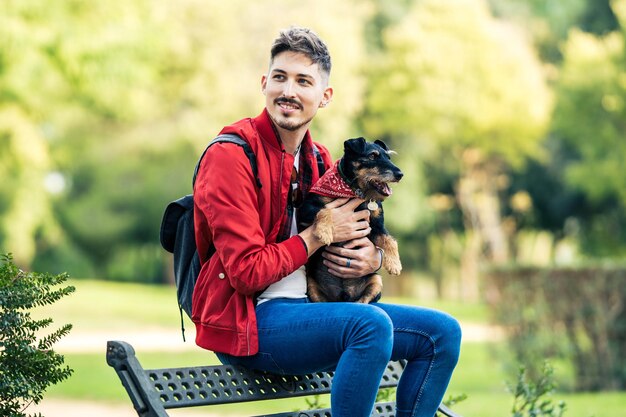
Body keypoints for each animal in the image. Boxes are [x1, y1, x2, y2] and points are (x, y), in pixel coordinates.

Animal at [298, 136, 404, 302]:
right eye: (372, 156)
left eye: (388, 157)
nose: (400, 174)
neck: (356, 192)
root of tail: (342, 296)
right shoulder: (305, 209)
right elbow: (326, 210)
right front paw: (324, 232)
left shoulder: (376, 227)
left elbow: (389, 240)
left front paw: (394, 264)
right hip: (311, 285)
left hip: (376, 281)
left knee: (364, 301)